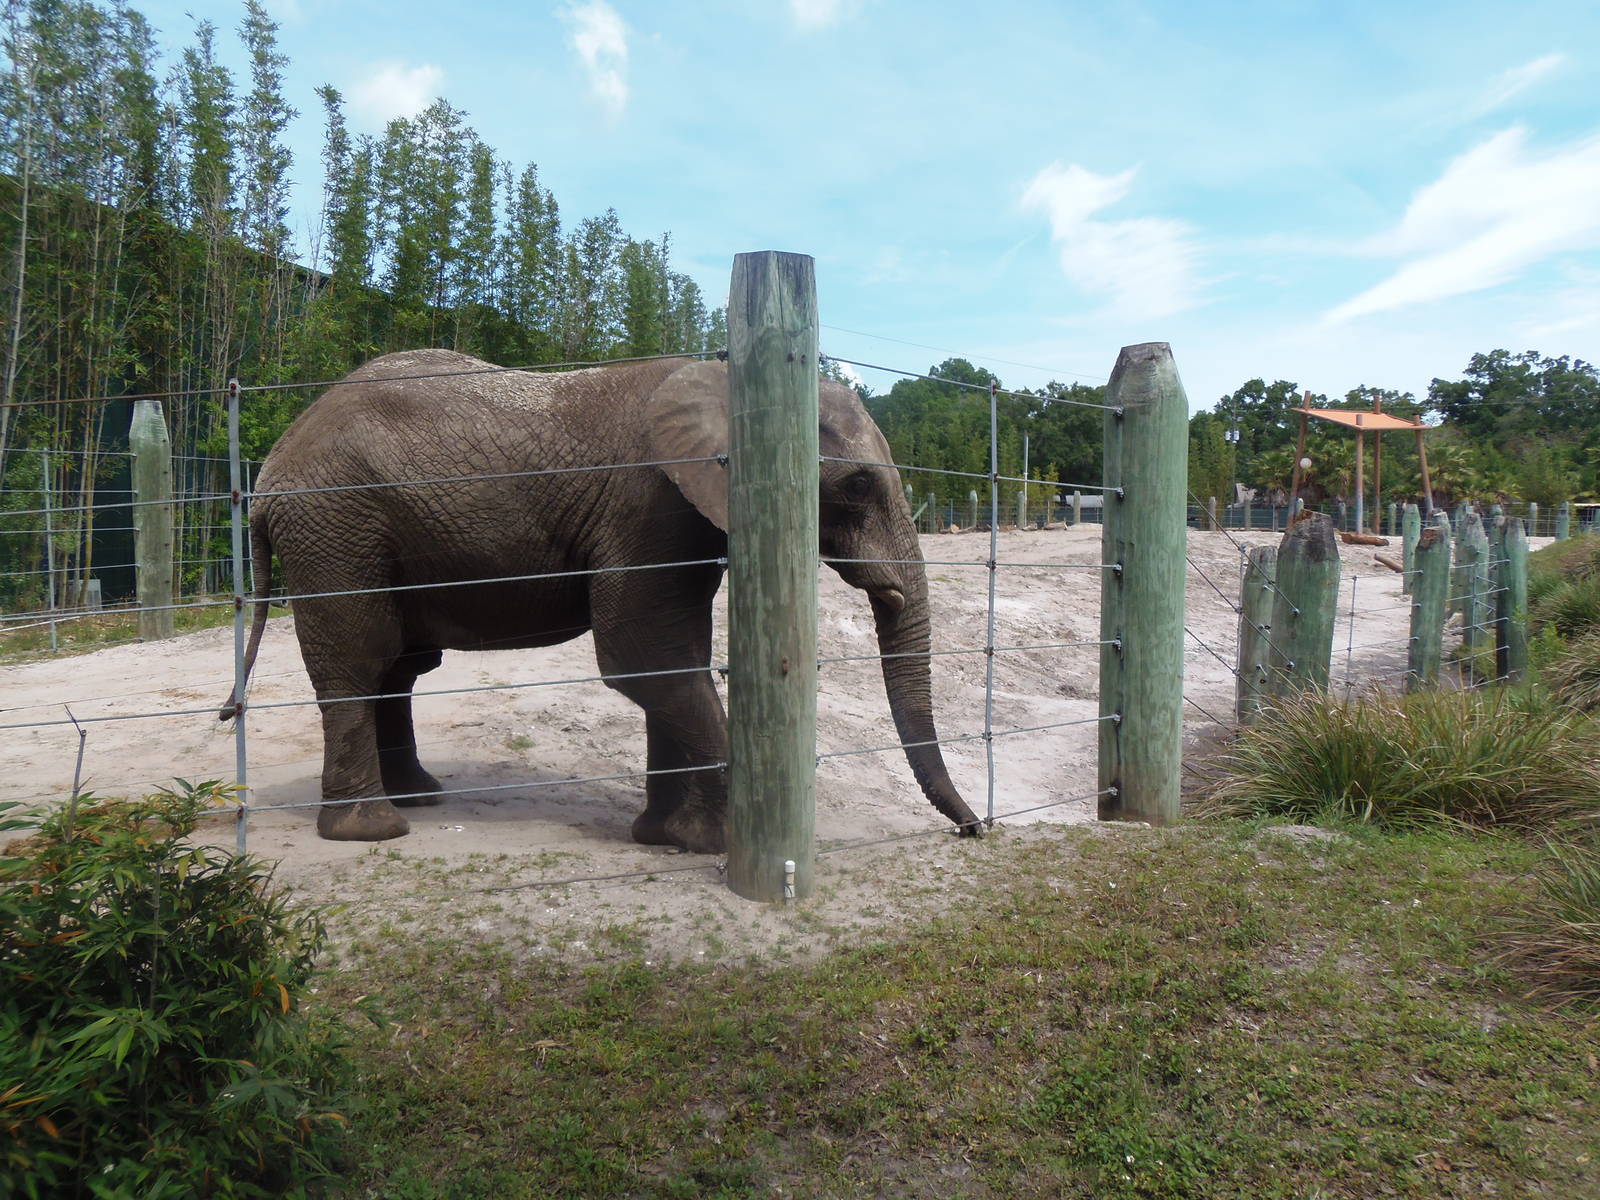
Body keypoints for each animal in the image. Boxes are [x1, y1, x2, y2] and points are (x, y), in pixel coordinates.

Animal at [220, 349, 980, 853]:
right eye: (856, 486)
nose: (975, 830)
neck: (726, 383)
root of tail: (270, 472)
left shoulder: (681, 520)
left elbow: (676, 657)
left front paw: (665, 837)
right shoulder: (647, 505)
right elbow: (642, 656)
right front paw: (717, 842)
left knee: (399, 668)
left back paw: (420, 797)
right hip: (336, 529)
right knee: (362, 662)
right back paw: (373, 830)